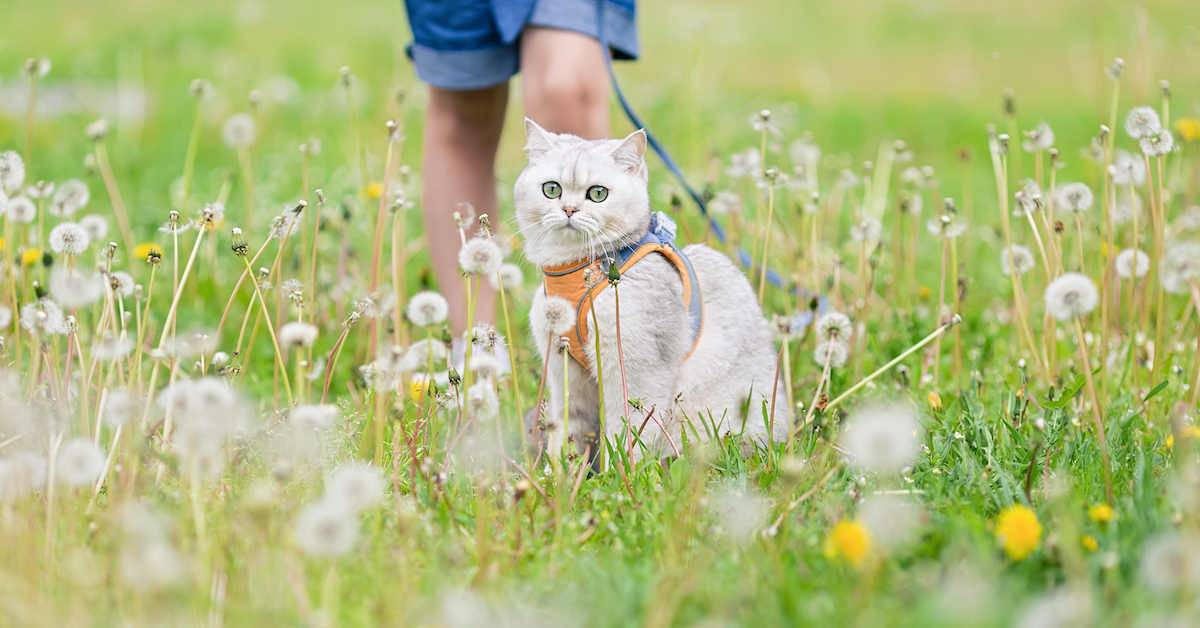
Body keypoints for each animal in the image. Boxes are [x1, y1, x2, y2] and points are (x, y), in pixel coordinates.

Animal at [513, 119, 787, 461]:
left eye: (598, 194)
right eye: (551, 189)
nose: (569, 210)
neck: (576, 273)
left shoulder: (636, 374)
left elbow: (626, 437)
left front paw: (618, 474)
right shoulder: (565, 374)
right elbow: (568, 436)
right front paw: (564, 473)